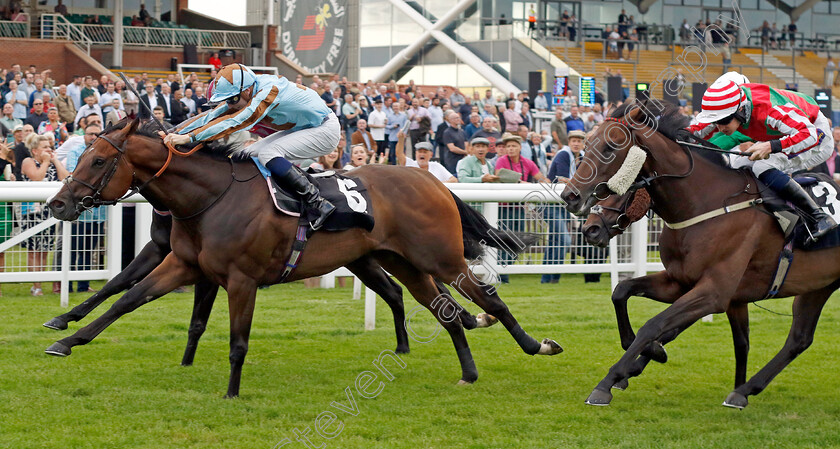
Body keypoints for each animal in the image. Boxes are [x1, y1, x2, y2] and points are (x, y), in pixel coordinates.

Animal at [42, 118, 560, 396]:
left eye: (97, 160)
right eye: (79, 153)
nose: (57, 205)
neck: (209, 197)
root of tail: (431, 178)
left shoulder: (241, 278)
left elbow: (238, 340)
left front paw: (232, 392)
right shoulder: (182, 264)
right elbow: (124, 298)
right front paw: (66, 339)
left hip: (441, 259)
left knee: (488, 300)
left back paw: (537, 345)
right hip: (404, 263)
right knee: (446, 311)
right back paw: (468, 373)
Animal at [560, 100, 840, 408]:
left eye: (610, 147)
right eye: (586, 145)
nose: (571, 197)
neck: (705, 203)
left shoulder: (715, 292)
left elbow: (654, 325)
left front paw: (608, 382)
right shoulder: (681, 281)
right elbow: (622, 291)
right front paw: (646, 356)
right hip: (819, 286)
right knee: (799, 338)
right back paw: (743, 391)